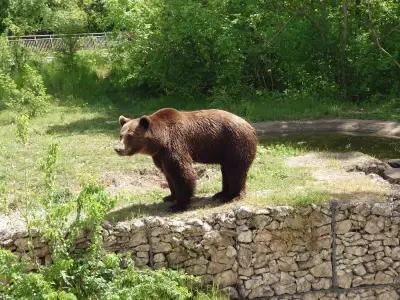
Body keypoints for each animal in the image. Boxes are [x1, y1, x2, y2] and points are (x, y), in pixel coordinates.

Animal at [113, 108, 256, 211]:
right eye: (121, 135)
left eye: (130, 136)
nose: (118, 149)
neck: (159, 141)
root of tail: (250, 126)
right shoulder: (160, 155)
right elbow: (168, 174)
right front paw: (169, 196)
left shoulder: (175, 144)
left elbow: (181, 172)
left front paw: (178, 205)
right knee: (226, 170)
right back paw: (221, 194)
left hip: (234, 143)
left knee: (235, 170)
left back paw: (233, 196)